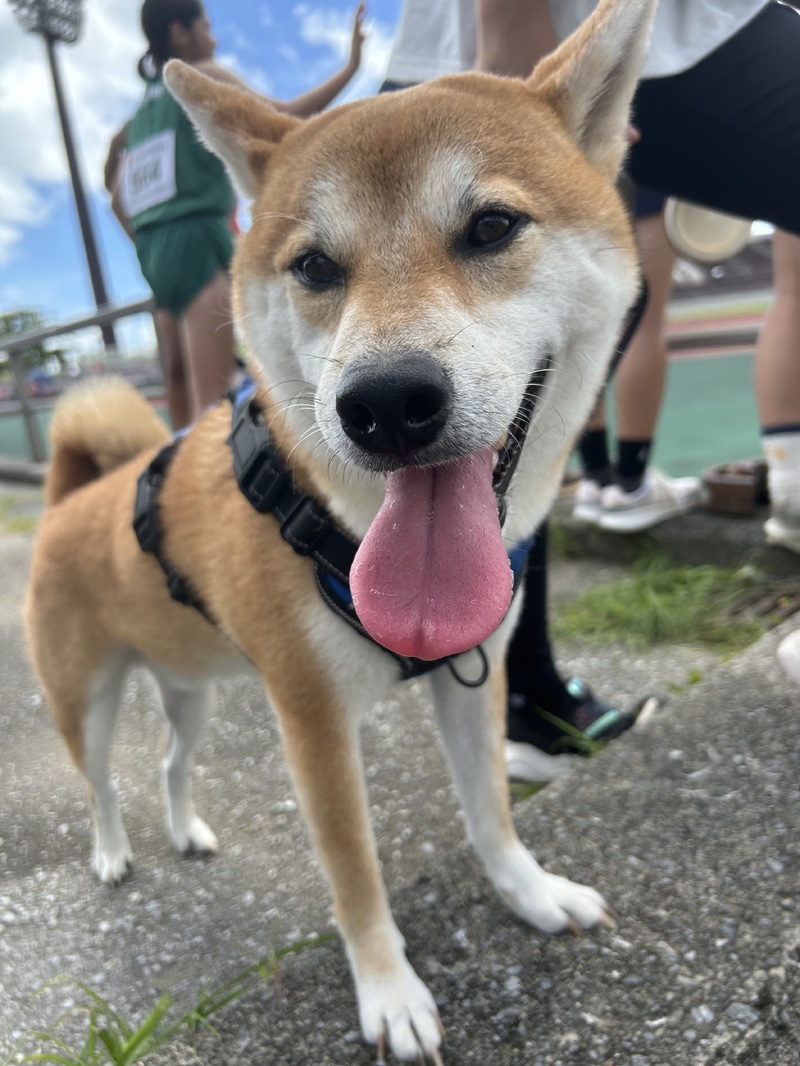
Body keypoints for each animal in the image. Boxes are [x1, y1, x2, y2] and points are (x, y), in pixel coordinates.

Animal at [25, 0, 653, 1059]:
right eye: (315, 266)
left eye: (492, 226)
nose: (387, 404)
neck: (340, 524)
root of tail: (73, 494)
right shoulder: (311, 718)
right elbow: (356, 874)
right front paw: (390, 995)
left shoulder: (472, 675)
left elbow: (490, 814)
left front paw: (530, 894)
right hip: (87, 697)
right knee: (101, 785)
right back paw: (114, 853)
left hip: (190, 686)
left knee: (171, 762)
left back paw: (186, 829)